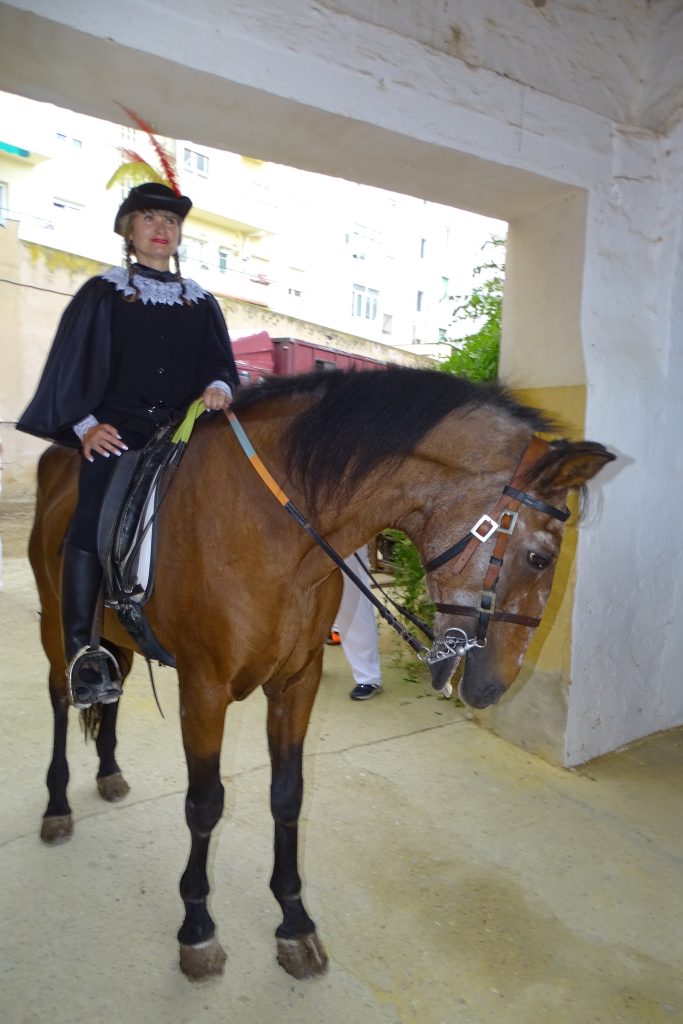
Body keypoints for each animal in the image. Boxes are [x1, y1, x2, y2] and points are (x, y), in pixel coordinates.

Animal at [28, 367, 614, 981]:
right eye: (540, 558)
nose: (493, 686)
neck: (274, 533)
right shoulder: (204, 689)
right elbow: (205, 803)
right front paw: (198, 929)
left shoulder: (297, 681)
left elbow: (288, 795)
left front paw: (294, 921)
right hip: (55, 624)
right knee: (62, 698)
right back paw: (57, 805)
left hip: (117, 640)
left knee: (110, 695)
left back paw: (109, 771)